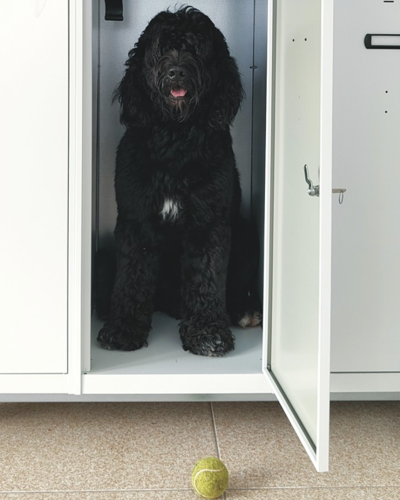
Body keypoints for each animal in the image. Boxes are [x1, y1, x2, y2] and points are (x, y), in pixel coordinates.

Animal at [97, 6, 262, 357]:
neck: (175, 137)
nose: (176, 72)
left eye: (197, 49)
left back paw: (245, 309)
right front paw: (123, 327)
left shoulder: (208, 221)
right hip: (104, 253)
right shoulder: (136, 220)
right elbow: (132, 277)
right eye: (160, 49)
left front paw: (207, 332)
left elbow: (207, 276)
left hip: (246, 230)